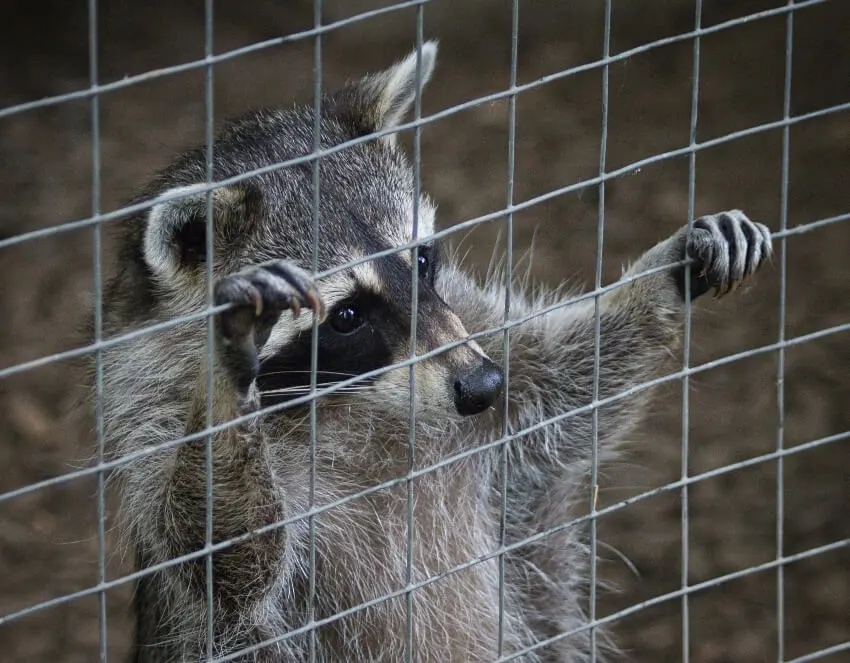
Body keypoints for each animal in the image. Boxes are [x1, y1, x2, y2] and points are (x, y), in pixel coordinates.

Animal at [96, 42, 772, 663]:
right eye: (347, 316)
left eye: (421, 260)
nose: (481, 387)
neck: (355, 400)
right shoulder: (150, 422)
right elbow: (224, 561)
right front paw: (224, 381)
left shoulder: (469, 334)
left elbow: (567, 384)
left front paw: (664, 275)